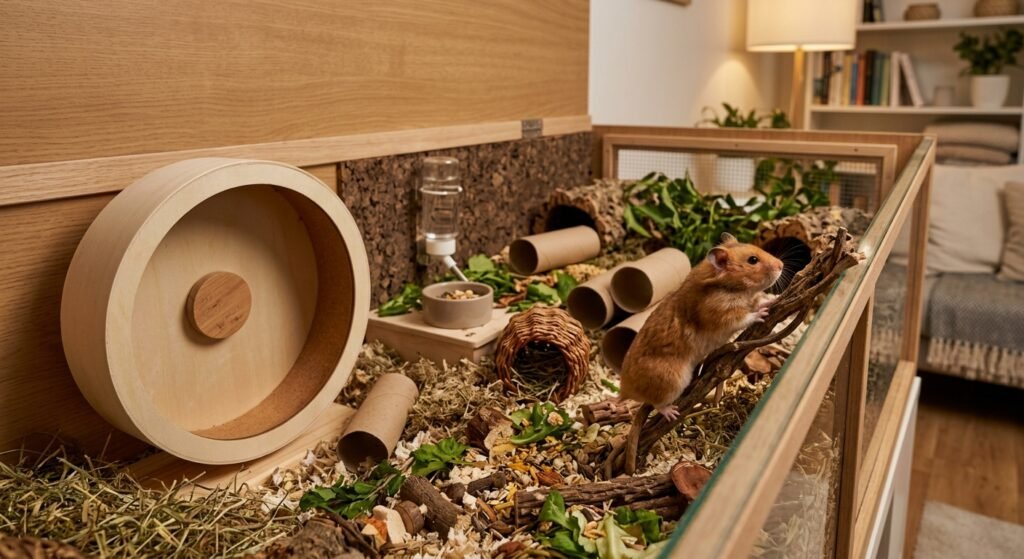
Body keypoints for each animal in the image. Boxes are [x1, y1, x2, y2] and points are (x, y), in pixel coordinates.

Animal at [618, 233, 783, 421]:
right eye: (753, 260)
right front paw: (762, 314)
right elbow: (744, 317)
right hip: (672, 381)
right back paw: (672, 413)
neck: (729, 287)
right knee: (657, 404)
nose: (781, 265)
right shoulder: (721, 314)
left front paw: (773, 300)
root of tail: (625, 390)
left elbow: (758, 302)